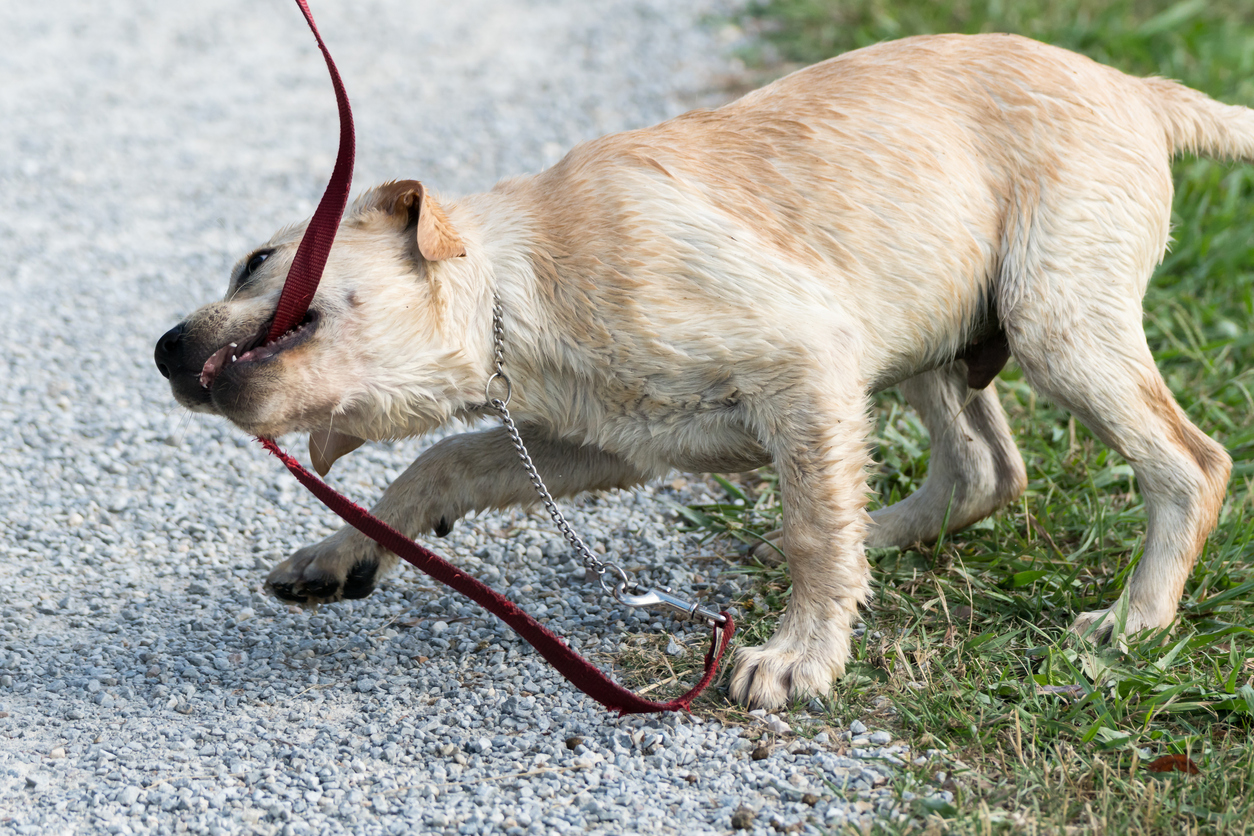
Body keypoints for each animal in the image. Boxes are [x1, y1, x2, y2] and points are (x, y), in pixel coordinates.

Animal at [154, 36, 1233, 711]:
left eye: (256, 262)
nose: (162, 348)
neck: (520, 287)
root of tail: (1135, 89)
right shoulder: (604, 444)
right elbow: (440, 461)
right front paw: (340, 552)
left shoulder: (804, 363)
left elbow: (812, 532)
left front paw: (798, 658)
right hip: (927, 325)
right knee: (982, 471)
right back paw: (885, 539)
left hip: (1054, 323)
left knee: (1193, 463)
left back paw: (1132, 619)